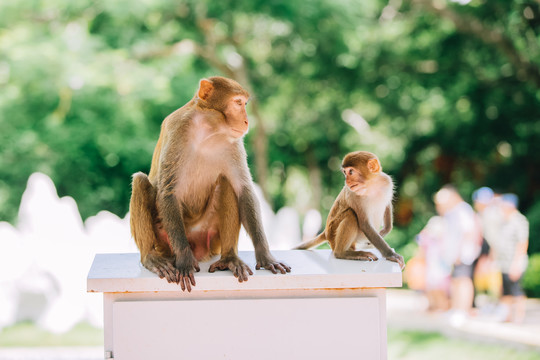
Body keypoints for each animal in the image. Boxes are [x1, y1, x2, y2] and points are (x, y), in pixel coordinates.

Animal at [130, 74, 292, 292]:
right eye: (238, 103)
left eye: (244, 103)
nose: (246, 121)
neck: (208, 131)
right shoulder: (177, 130)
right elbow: (168, 192)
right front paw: (185, 260)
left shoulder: (234, 143)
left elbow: (243, 189)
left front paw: (266, 256)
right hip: (165, 242)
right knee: (140, 181)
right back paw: (150, 258)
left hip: (211, 239)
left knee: (226, 183)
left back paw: (230, 258)